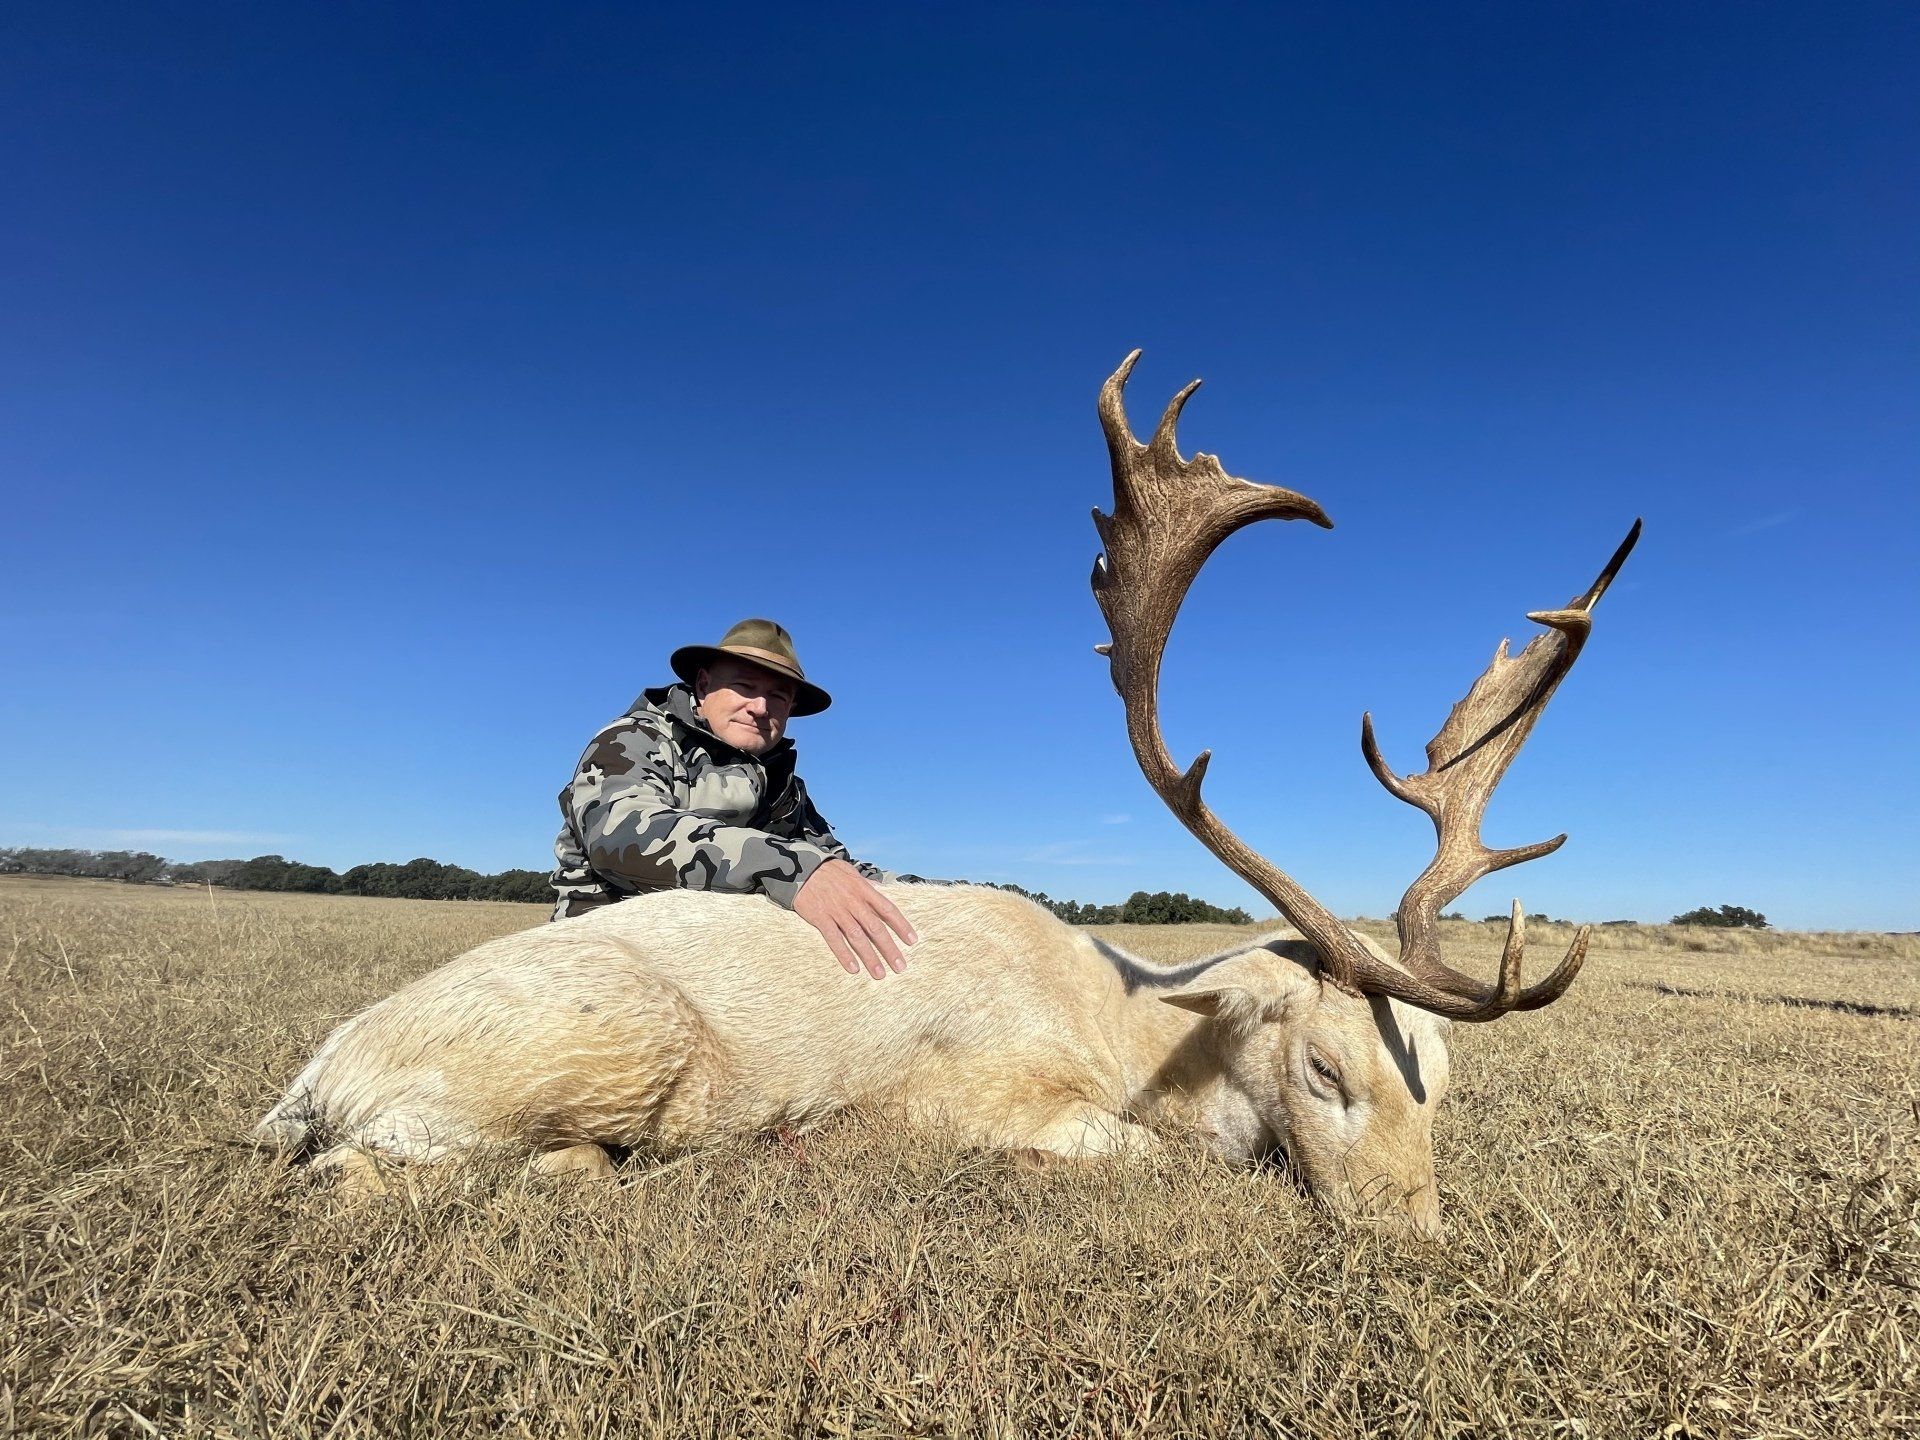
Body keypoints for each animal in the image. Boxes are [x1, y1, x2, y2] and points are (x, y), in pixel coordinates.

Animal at [255, 351, 1639, 1236]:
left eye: (1441, 1085)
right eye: (1324, 1073)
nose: (1419, 1240)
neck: (1125, 1030)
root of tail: (315, 1077)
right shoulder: (975, 1095)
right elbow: (1140, 1162)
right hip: (609, 1045)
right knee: (405, 1178)